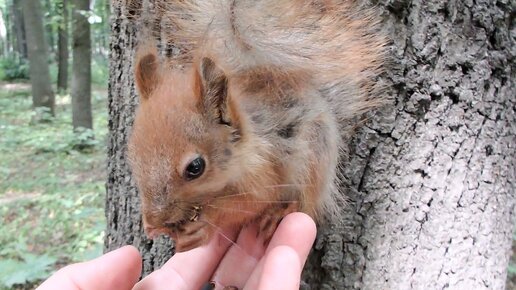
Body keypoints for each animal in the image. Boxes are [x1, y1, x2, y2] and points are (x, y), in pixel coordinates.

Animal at [127, 0, 384, 253]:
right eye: (133, 159)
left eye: (196, 167)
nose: (155, 218)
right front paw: (153, 227)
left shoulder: (263, 170)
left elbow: (253, 202)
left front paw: (205, 224)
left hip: (316, 154)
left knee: (307, 203)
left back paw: (281, 212)